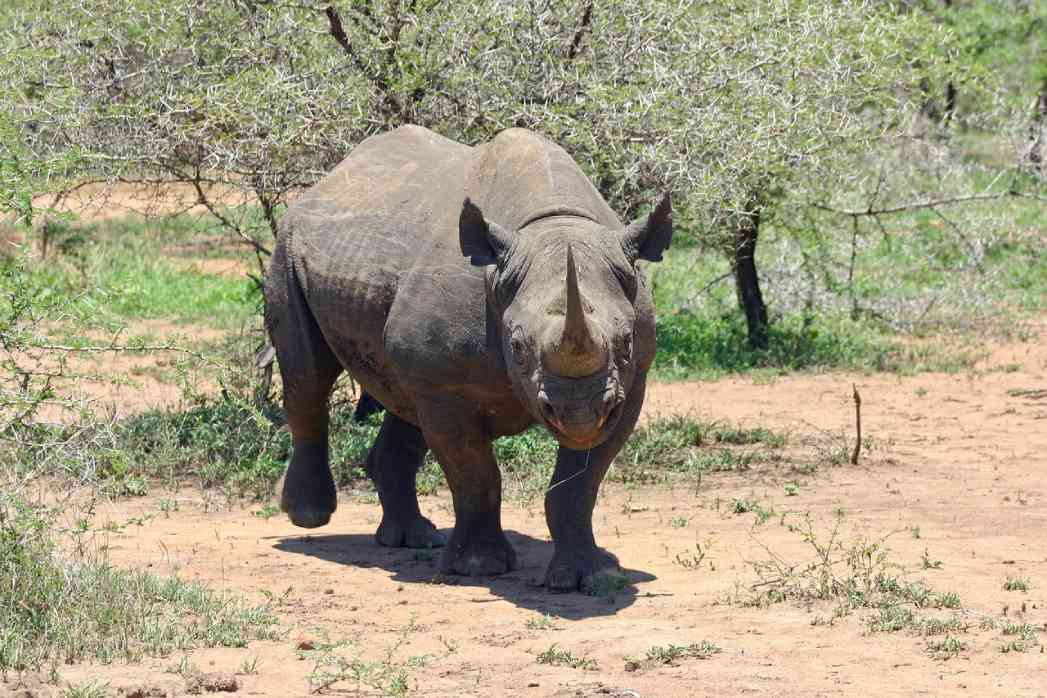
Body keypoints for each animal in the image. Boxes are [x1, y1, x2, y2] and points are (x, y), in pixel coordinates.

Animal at [265, 126, 672, 591]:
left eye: (625, 342)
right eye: (517, 347)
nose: (580, 413)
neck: (554, 225)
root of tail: (328, 180)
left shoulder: (630, 383)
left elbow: (578, 486)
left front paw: (593, 575)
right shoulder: (445, 385)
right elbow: (474, 473)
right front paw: (479, 568)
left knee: (402, 400)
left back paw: (414, 539)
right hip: (288, 244)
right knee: (308, 377)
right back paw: (309, 517)